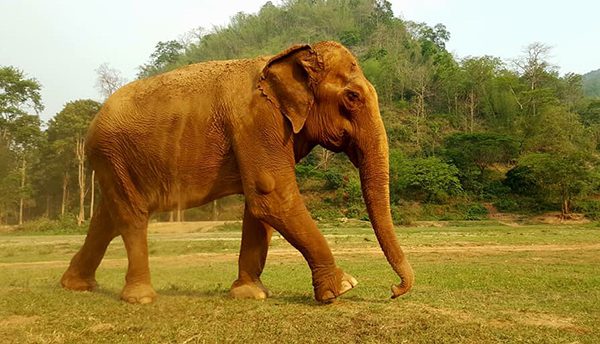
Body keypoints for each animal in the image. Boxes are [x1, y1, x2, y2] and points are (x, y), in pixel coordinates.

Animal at [61, 39, 414, 304]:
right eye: (352, 97)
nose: (394, 290)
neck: (282, 58)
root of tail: (94, 118)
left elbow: (261, 207)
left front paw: (250, 293)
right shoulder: (257, 121)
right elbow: (273, 197)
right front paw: (341, 288)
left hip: (114, 161)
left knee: (108, 216)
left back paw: (75, 285)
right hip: (111, 153)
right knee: (131, 216)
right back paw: (140, 298)